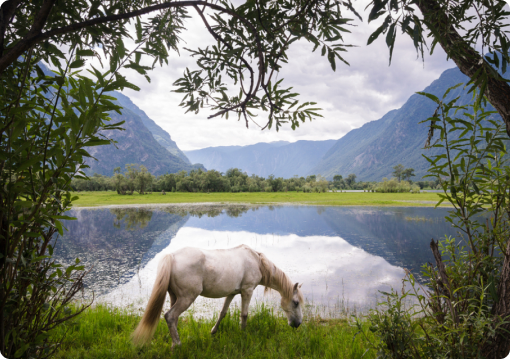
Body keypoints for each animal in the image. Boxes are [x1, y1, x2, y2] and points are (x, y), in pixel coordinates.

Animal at [133, 243, 304, 348]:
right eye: (296, 302)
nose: (298, 324)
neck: (257, 261)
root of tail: (172, 256)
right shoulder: (247, 291)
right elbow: (244, 315)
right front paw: (243, 334)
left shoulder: (231, 293)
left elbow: (223, 313)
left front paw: (213, 332)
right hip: (187, 298)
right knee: (170, 316)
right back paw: (178, 345)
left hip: (174, 297)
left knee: (173, 319)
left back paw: (174, 343)